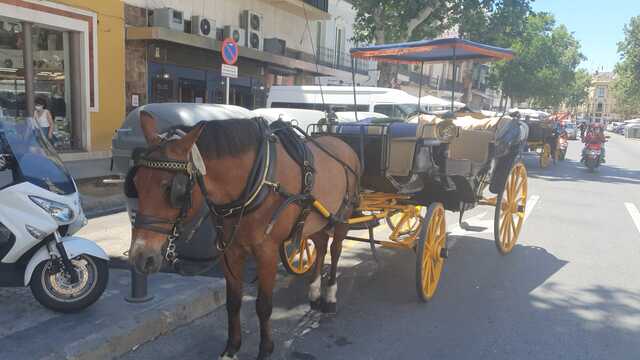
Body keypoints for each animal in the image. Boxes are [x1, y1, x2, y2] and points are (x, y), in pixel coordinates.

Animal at [129, 111, 360, 358]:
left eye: (173, 189)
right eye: (136, 183)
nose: (140, 257)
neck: (258, 181)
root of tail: (343, 144)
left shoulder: (267, 253)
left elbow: (264, 305)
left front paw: (265, 349)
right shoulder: (230, 251)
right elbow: (233, 302)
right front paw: (231, 348)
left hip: (342, 217)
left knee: (334, 251)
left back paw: (330, 297)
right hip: (317, 220)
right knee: (321, 244)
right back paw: (315, 293)